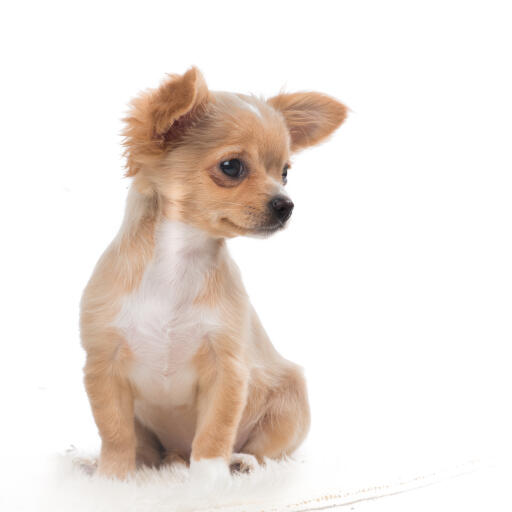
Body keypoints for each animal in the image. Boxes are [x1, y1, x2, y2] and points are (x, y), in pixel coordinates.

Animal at [80, 68, 346, 480]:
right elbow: (115, 432)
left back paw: (242, 462)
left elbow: (215, 433)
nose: (286, 205)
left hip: (290, 400)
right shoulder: (103, 365)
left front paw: (209, 481)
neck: (178, 262)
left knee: (267, 451)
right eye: (232, 167)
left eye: (284, 173)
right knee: (148, 448)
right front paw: (111, 479)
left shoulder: (228, 370)